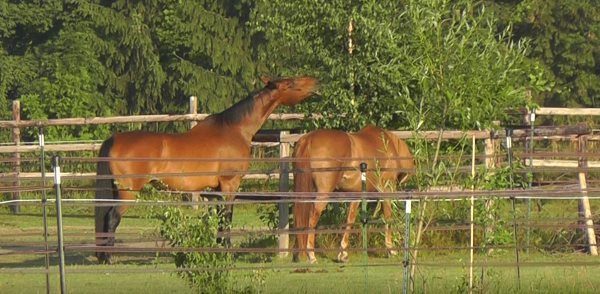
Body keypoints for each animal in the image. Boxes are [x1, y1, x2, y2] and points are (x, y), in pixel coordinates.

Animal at [94, 76, 318, 264]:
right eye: (290, 83)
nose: (314, 81)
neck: (234, 129)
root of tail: (114, 139)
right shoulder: (230, 185)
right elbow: (227, 218)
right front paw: (228, 253)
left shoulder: (215, 189)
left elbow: (219, 219)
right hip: (128, 192)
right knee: (112, 218)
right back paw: (107, 258)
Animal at [290, 125, 412, 262]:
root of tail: (309, 139)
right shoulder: (386, 190)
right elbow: (387, 217)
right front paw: (391, 249)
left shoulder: (356, 195)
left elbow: (350, 219)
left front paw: (343, 253)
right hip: (323, 193)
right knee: (312, 216)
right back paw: (311, 255)